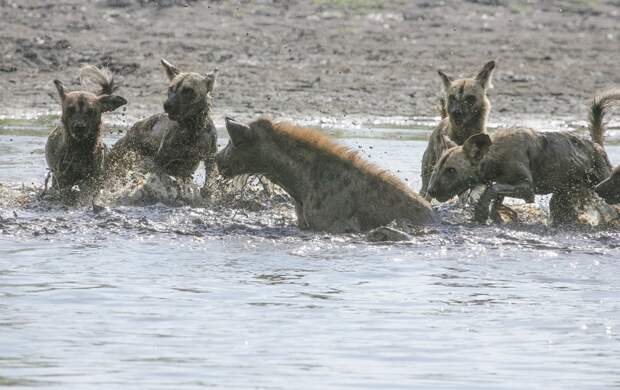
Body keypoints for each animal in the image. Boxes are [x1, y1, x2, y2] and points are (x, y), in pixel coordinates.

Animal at [47, 65, 128, 197]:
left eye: (91, 111)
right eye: (70, 109)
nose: (79, 127)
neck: (80, 150)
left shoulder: (92, 180)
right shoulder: (61, 181)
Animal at [109, 58, 218, 195]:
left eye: (188, 90)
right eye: (171, 88)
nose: (167, 105)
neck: (192, 129)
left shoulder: (210, 158)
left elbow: (209, 182)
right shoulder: (159, 162)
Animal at [426, 89, 620, 225]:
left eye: (451, 171)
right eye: (436, 169)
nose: (431, 191)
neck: (495, 155)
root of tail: (597, 146)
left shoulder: (527, 189)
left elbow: (492, 190)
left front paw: (481, 212)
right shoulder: (506, 184)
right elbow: (495, 197)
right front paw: (495, 216)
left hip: (604, 189)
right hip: (561, 201)